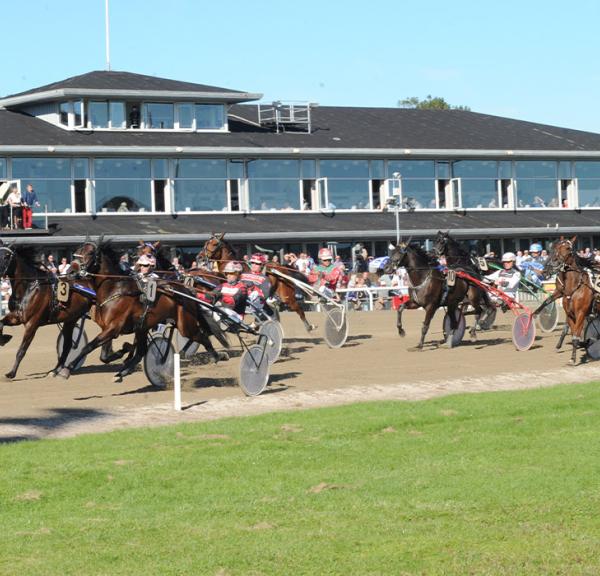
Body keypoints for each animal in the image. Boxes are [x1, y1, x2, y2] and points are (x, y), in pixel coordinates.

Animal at [0, 242, 92, 378]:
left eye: (6, 256)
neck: (29, 288)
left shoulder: (32, 323)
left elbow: (22, 350)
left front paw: (11, 373)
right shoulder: (17, 317)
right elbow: (1, 323)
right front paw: (4, 339)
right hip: (70, 319)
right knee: (68, 344)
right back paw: (55, 370)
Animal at [58, 240, 230, 380]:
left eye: (89, 253)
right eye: (76, 252)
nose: (70, 271)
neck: (115, 290)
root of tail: (186, 291)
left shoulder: (114, 328)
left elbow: (88, 346)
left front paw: (66, 370)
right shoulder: (111, 328)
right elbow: (104, 355)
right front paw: (123, 352)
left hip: (185, 325)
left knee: (201, 336)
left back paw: (217, 356)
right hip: (143, 327)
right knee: (141, 351)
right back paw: (122, 373)